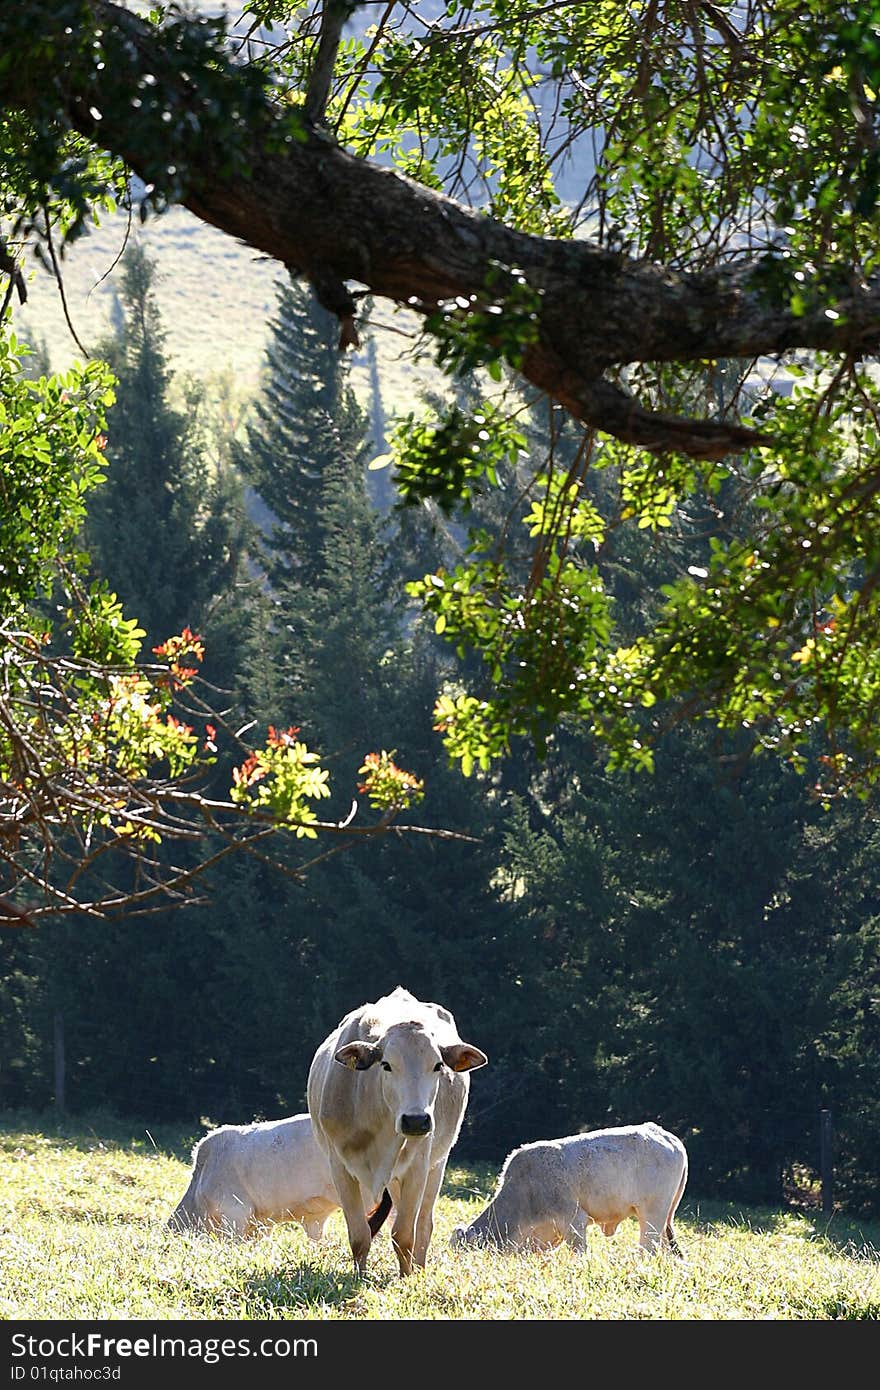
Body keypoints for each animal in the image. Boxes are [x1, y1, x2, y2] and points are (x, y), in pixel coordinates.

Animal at [307, 984, 486, 1273]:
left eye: (437, 1065)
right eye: (386, 1065)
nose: (415, 1120)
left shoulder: (417, 1167)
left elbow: (404, 1235)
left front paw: (408, 1277)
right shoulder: (340, 1167)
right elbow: (359, 1235)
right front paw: (360, 1276)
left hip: (436, 1166)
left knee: (423, 1226)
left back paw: (420, 1268)